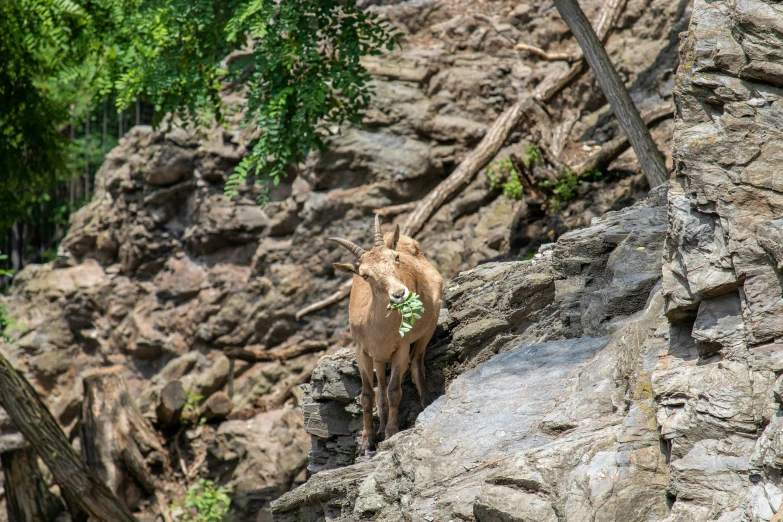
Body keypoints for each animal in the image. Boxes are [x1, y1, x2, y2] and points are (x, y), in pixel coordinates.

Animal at [328, 214, 444, 450]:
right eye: (364, 275)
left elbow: (394, 390)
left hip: (428, 328)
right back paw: (380, 426)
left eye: (396, 258)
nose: (399, 294)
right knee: (380, 386)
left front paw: (391, 432)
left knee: (417, 364)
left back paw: (426, 402)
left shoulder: (402, 347)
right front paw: (367, 442)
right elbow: (367, 395)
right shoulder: (362, 351)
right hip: (379, 358)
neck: (378, 330)